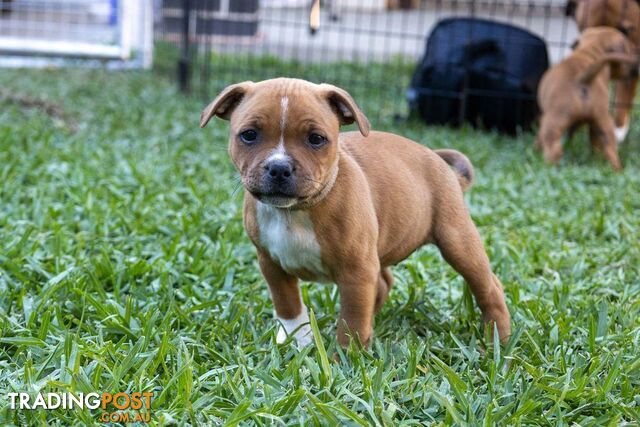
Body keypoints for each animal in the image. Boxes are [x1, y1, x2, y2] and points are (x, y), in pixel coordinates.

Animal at [200, 78, 510, 350]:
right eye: (249, 135)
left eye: (316, 139)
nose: (279, 168)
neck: (296, 212)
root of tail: (444, 167)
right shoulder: (272, 265)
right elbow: (288, 308)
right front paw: (296, 343)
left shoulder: (356, 273)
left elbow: (351, 321)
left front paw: (346, 360)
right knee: (383, 283)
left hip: (458, 242)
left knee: (490, 287)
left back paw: (498, 340)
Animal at [536, 26, 636, 171]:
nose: (635, 69)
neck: (589, 51)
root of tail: (583, 78)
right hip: (603, 121)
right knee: (610, 149)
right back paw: (615, 169)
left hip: (553, 120)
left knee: (553, 146)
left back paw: (548, 165)